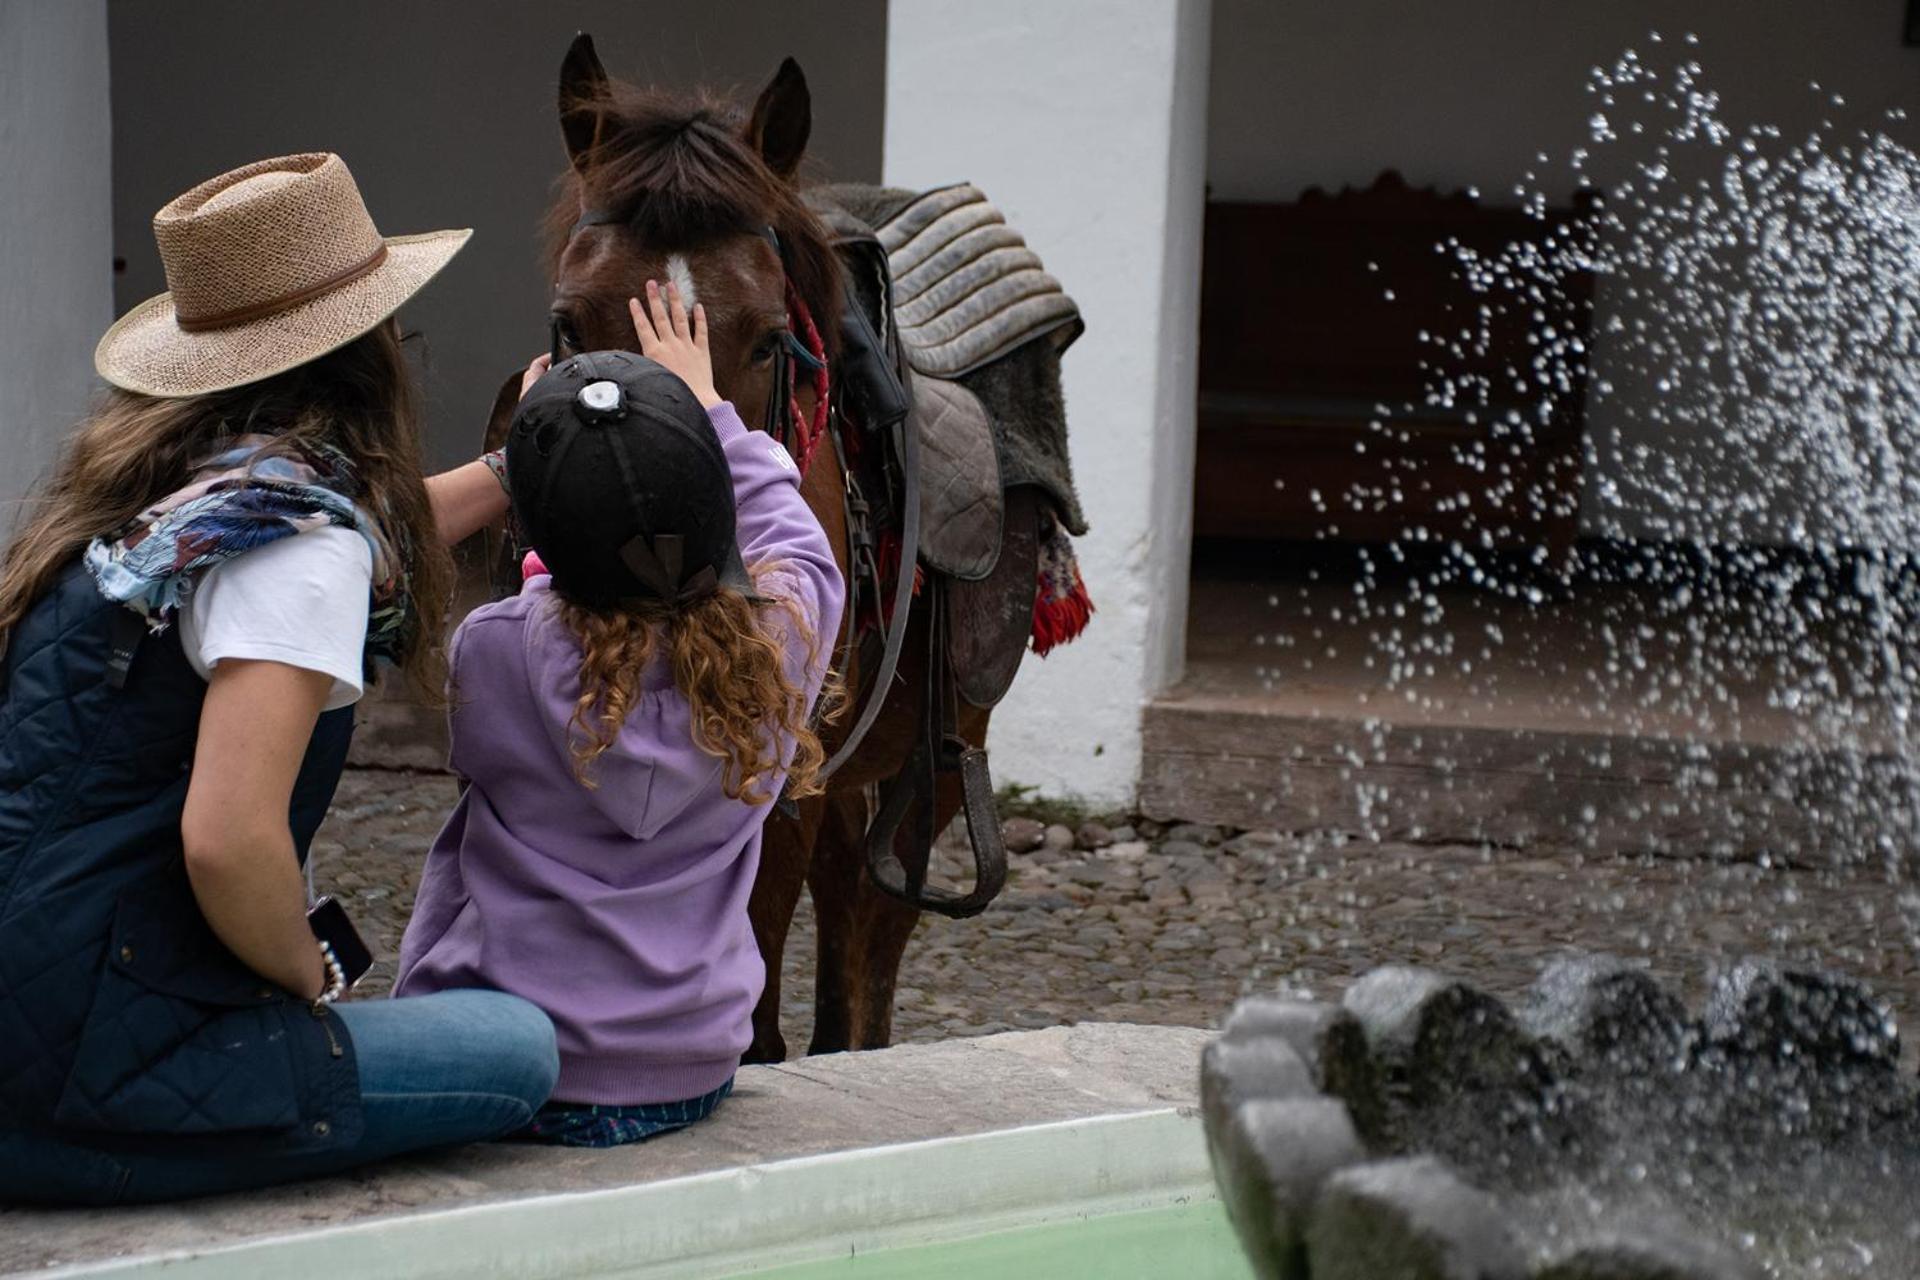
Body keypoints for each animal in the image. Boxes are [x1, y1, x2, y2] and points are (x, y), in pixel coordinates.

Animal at [480, 37, 1090, 1059]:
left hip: (941, 746)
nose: (658, 545)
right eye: (570, 325)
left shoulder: (783, 769)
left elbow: (759, 957)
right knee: (847, 893)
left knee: (878, 923)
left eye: (771, 340)